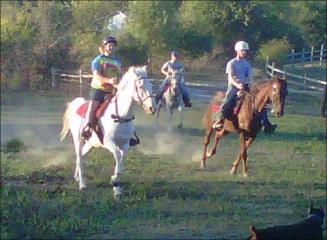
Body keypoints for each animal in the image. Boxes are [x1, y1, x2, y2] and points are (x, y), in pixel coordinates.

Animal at [60, 66, 155, 197]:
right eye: (140, 86)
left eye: (150, 85)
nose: (152, 108)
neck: (121, 116)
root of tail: (77, 105)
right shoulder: (109, 142)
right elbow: (117, 155)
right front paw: (114, 180)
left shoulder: (125, 144)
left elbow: (120, 162)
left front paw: (116, 186)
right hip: (78, 140)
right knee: (79, 157)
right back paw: (82, 184)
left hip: (90, 144)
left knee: (81, 156)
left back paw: (77, 177)